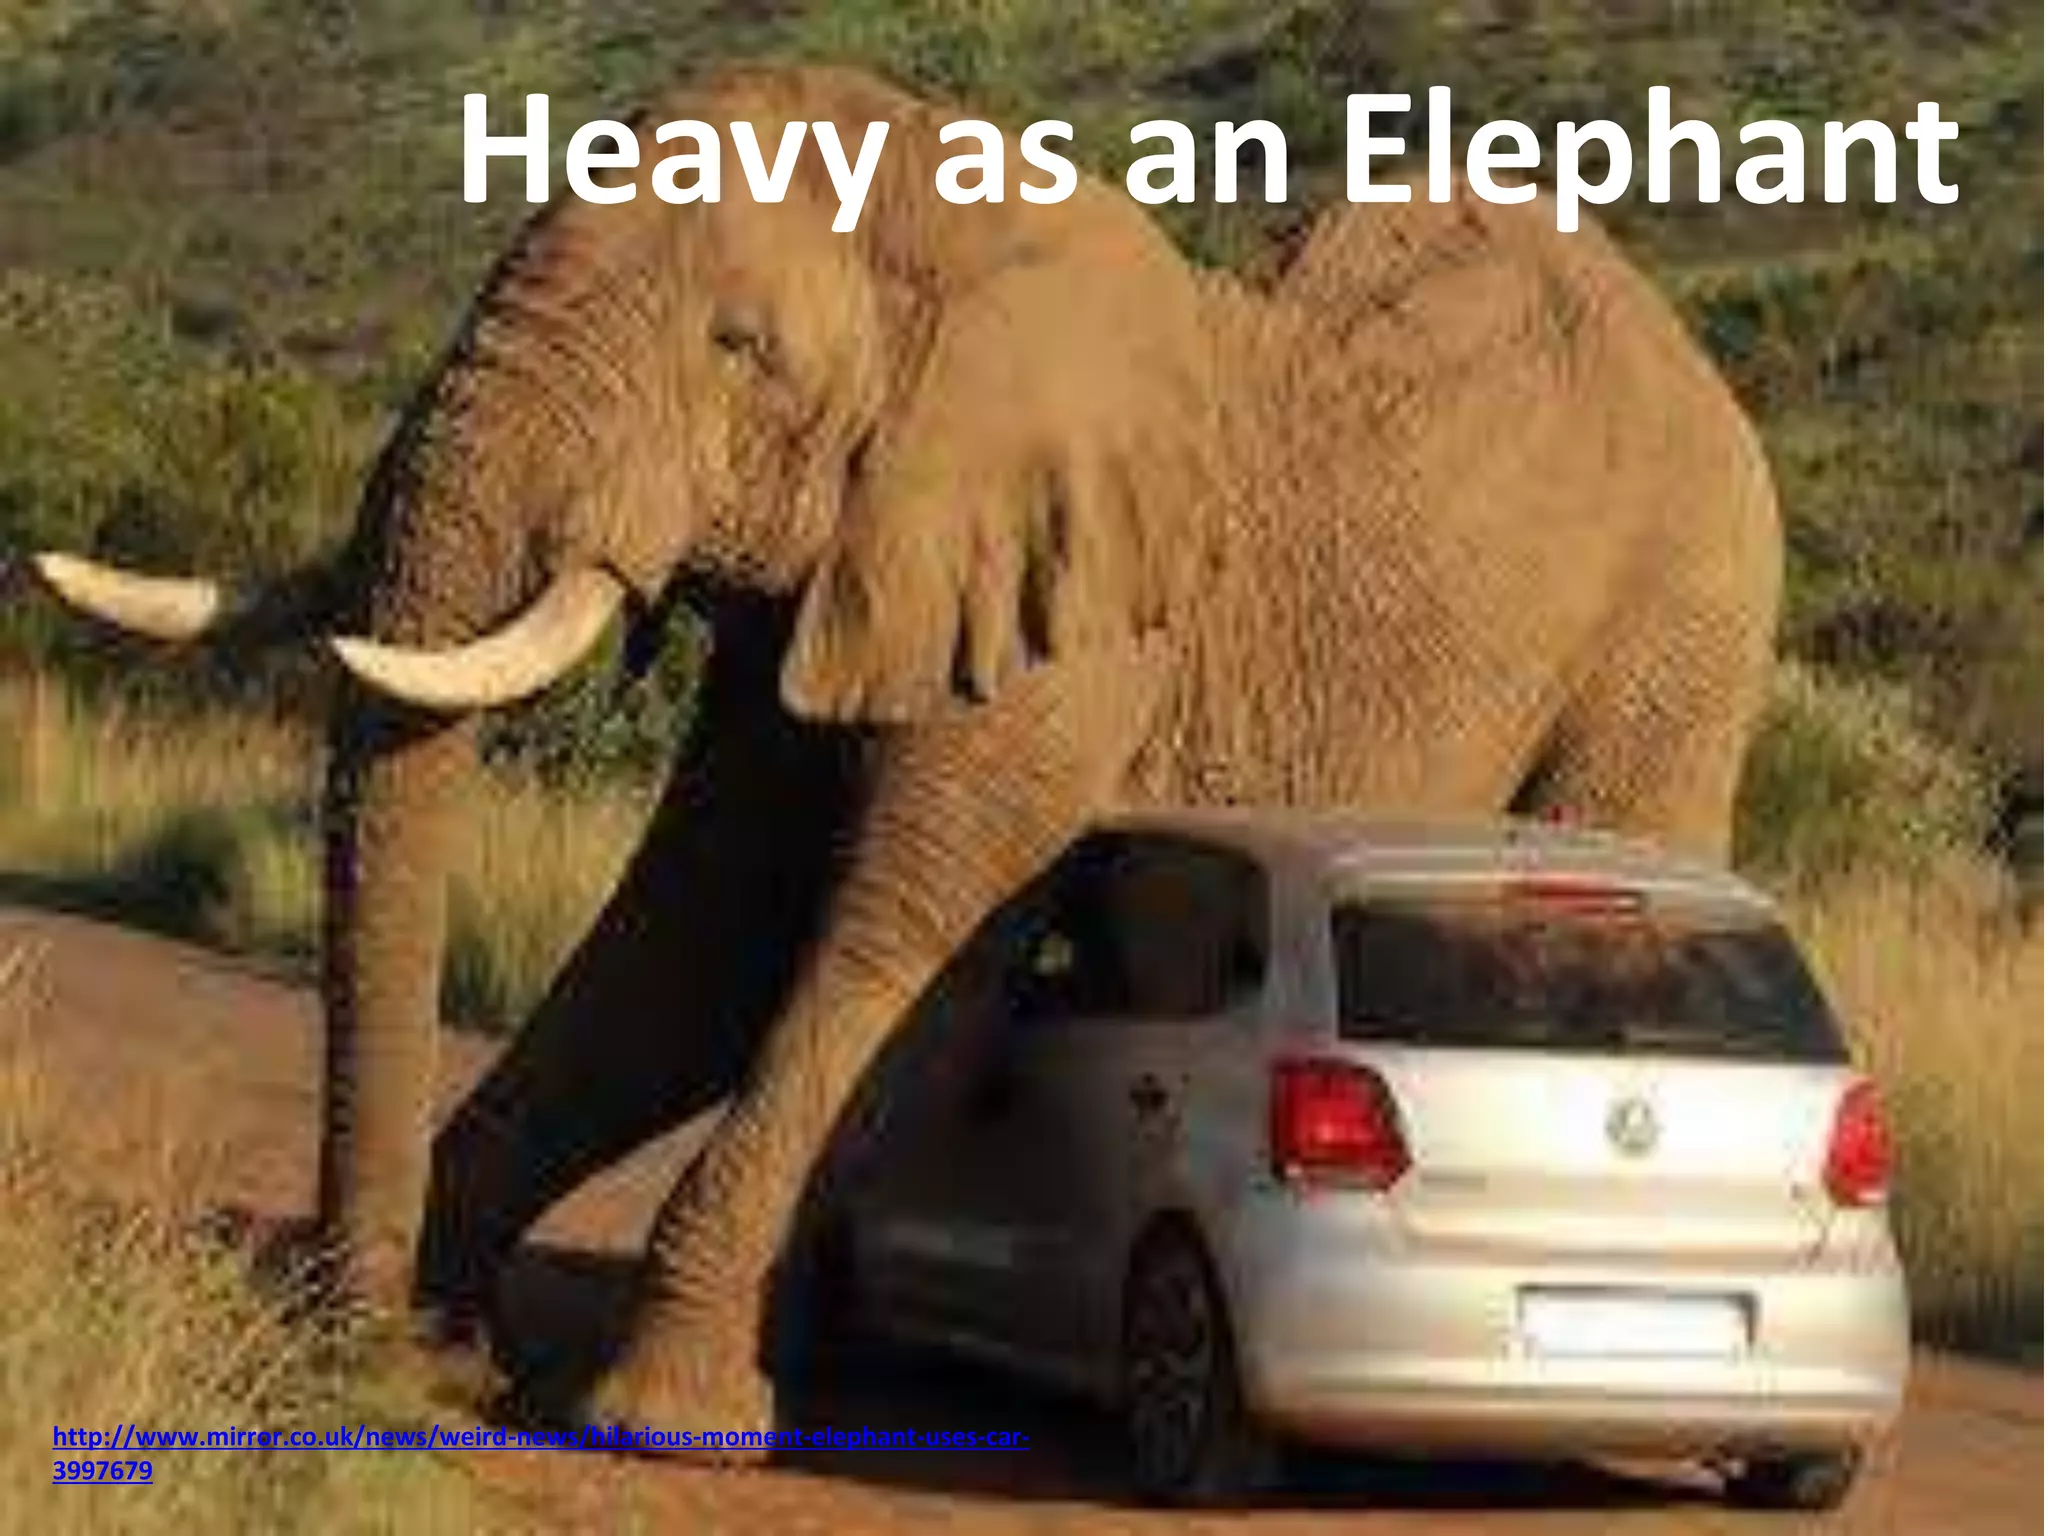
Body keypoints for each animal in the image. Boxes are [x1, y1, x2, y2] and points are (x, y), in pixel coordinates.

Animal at [28, 63, 1780, 1439]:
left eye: (740, 350)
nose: (352, 1348)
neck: (939, 204)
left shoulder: (1068, 636)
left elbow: (891, 943)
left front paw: (649, 1417)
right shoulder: (842, 583)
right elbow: (702, 939)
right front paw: (450, 1349)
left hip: (1682, 627)